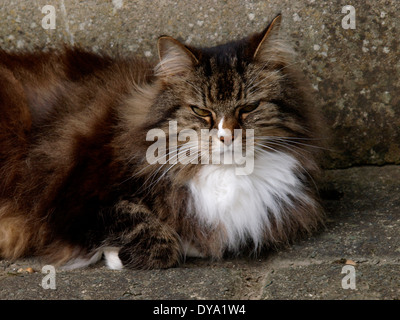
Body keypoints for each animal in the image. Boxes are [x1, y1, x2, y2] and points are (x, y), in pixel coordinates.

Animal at [0, 15, 324, 270]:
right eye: (201, 111)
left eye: (249, 108)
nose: (226, 136)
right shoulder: (77, 198)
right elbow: (156, 237)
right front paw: (116, 256)